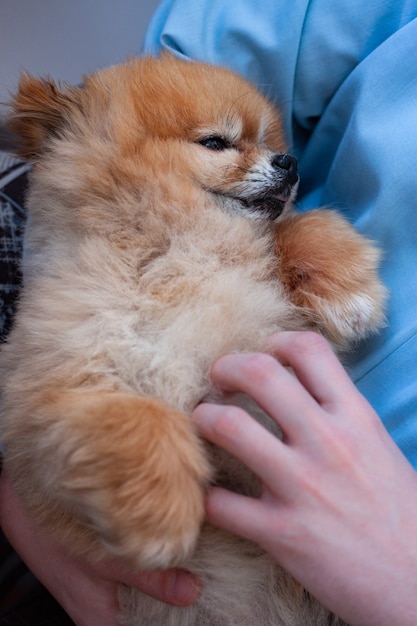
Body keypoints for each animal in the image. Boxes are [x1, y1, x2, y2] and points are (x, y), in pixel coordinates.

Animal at [0, 54, 386, 624]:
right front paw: (161, 519)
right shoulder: (52, 384)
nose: (290, 161)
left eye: (267, 140)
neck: (182, 248)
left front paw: (349, 291)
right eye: (216, 142)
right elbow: (138, 415)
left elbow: (296, 227)